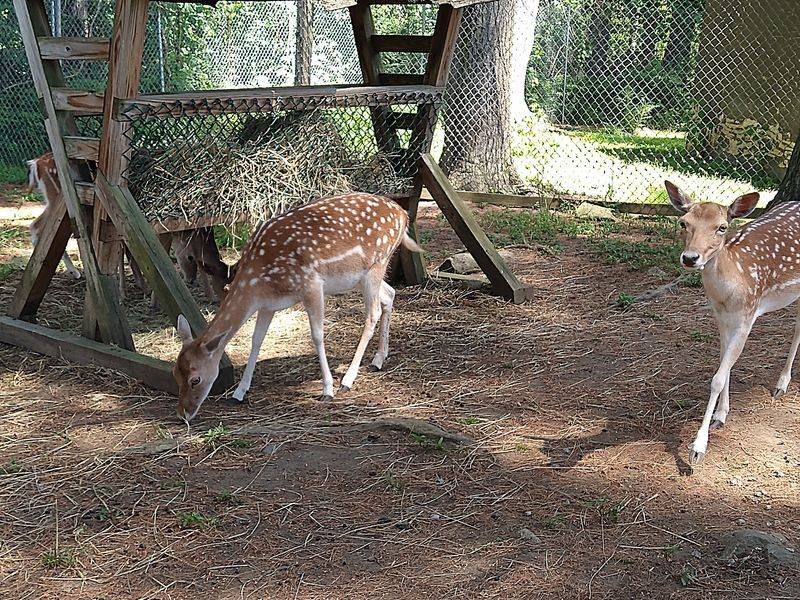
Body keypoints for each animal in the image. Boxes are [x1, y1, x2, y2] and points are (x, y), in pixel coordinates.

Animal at [173, 192, 420, 422]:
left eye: (195, 379)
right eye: (175, 373)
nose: (184, 414)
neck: (257, 281)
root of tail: (403, 214)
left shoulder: (312, 285)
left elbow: (317, 336)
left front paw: (327, 389)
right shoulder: (267, 305)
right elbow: (257, 341)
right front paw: (239, 393)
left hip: (377, 263)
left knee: (373, 313)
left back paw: (348, 379)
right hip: (363, 276)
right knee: (390, 294)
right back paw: (378, 359)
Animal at [665, 180, 800, 464]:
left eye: (722, 227)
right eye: (683, 222)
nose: (690, 258)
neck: (728, 293)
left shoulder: (747, 316)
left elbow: (717, 378)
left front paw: (698, 448)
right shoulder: (720, 317)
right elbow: (723, 365)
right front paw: (720, 416)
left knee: (797, 328)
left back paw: (781, 384)